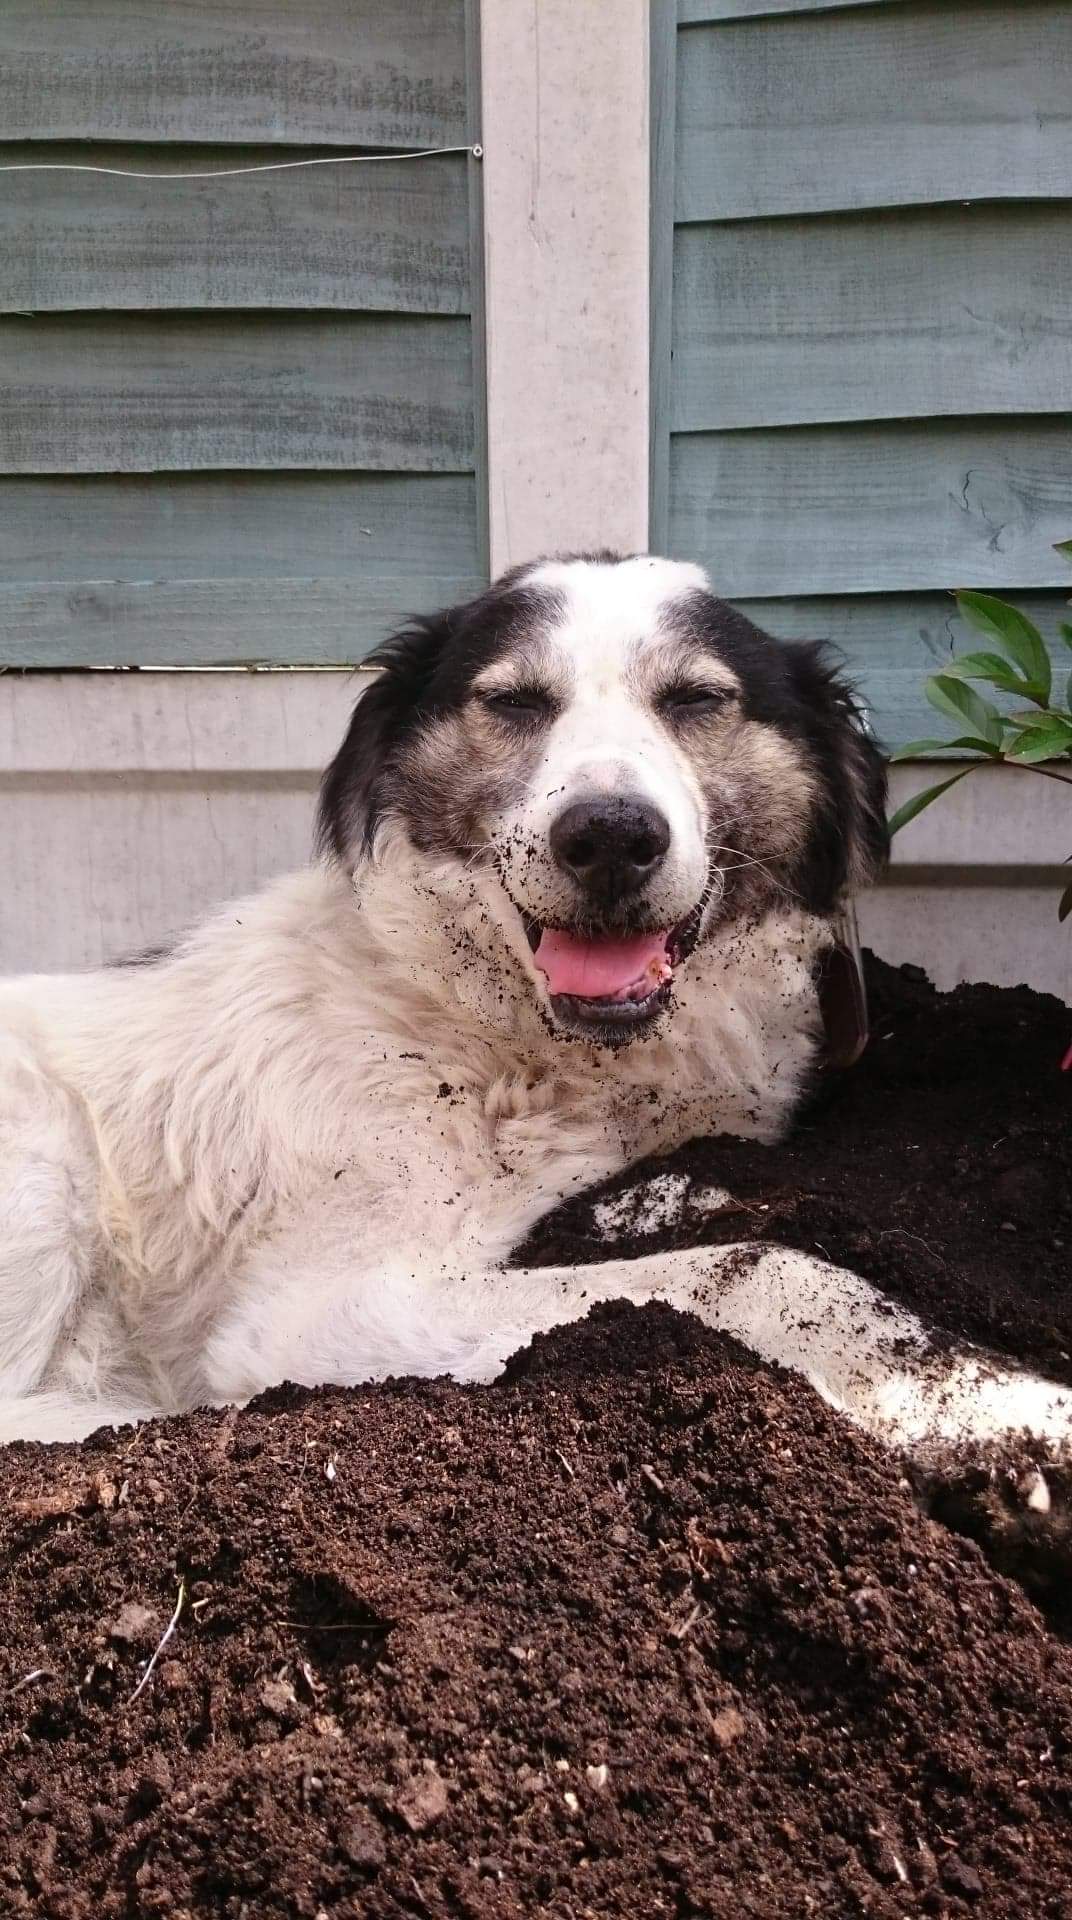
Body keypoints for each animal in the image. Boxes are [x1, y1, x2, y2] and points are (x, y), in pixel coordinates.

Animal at [2, 549, 1072, 1459]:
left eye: (696, 698)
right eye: (514, 700)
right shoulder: (323, 1308)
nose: (610, 836)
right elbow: (753, 1269)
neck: (501, 1038)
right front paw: (1011, 1407)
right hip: (44, 1166)